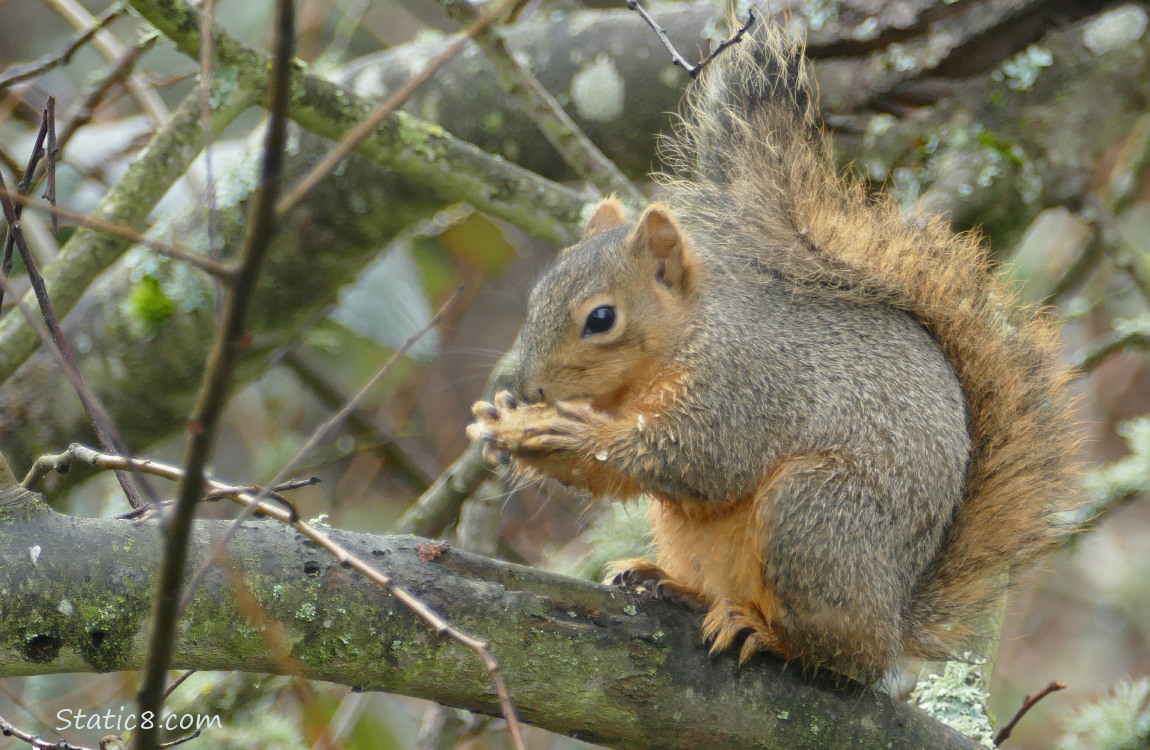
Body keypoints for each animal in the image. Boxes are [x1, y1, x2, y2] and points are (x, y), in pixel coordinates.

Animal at [466, 13, 1079, 677]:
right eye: (536, 295)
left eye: (600, 318)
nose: (530, 388)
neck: (685, 337)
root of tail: (894, 621)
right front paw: (503, 425)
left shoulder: (742, 385)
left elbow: (695, 459)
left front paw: (562, 434)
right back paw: (669, 581)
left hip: (813, 517)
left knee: (836, 654)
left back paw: (764, 631)